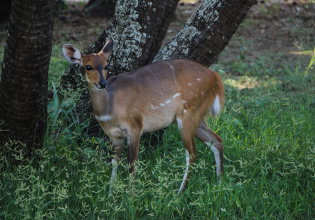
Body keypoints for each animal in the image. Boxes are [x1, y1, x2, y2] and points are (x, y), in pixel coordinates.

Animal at [62, 38, 225, 194]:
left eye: (106, 65)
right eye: (88, 66)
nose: (102, 83)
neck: (109, 110)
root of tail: (215, 77)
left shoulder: (135, 127)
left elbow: (131, 163)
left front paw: (130, 197)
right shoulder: (114, 135)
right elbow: (114, 162)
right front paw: (110, 195)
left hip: (188, 113)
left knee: (192, 153)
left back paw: (179, 193)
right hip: (196, 115)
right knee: (217, 140)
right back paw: (219, 183)